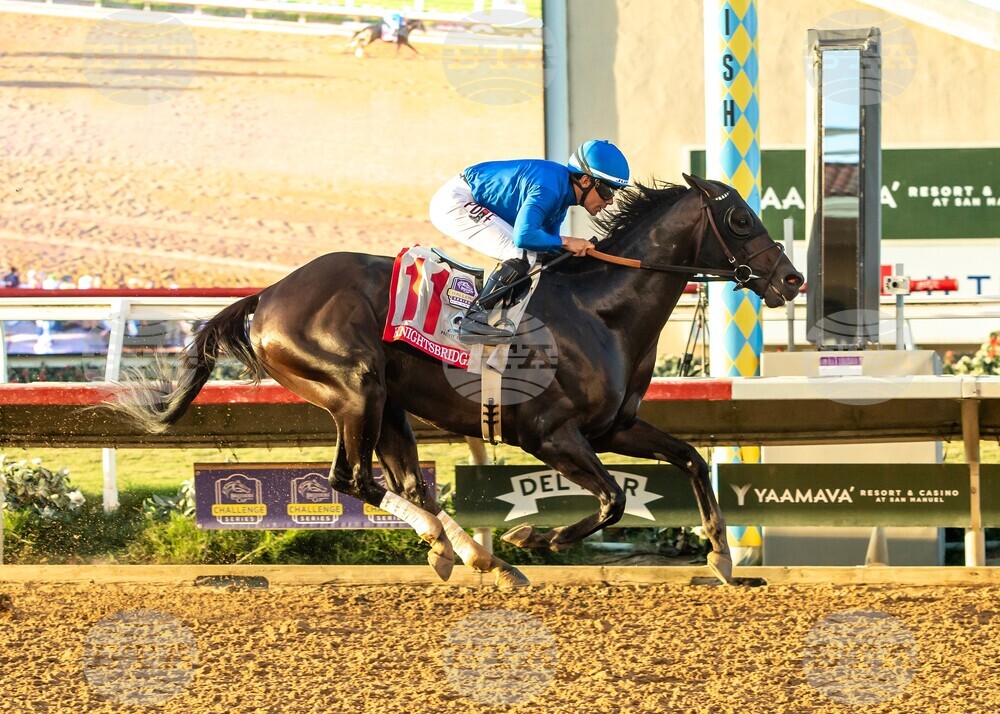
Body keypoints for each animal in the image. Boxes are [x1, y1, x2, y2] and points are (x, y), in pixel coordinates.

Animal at [107, 174, 803, 588]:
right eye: (741, 219)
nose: (792, 279)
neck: (600, 309)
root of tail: (268, 295)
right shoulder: (549, 435)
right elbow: (612, 498)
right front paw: (536, 535)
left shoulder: (615, 427)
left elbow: (688, 458)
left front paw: (722, 555)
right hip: (355, 387)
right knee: (351, 479)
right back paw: (480, 553)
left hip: (387, 404)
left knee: (404, 483)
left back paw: (468, 553)